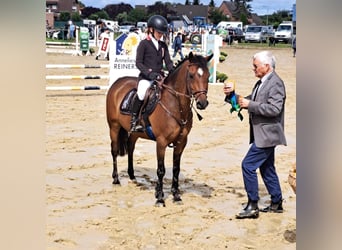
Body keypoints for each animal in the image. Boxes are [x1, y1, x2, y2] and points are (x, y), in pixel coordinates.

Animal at [106, 51, 214, 206]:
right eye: (191, 76)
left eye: (207, 75)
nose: (202, 103)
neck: (176, 105)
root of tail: (117, 83)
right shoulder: (161, 142)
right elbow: (161, 170)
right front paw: (160, 198)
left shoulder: (181, 142)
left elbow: (176, 169)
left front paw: (176, 195)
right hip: (114, 127)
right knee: (114, 151)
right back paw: (116, 179)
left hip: (134, 133)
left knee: (131, 149)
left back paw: (132, 176)